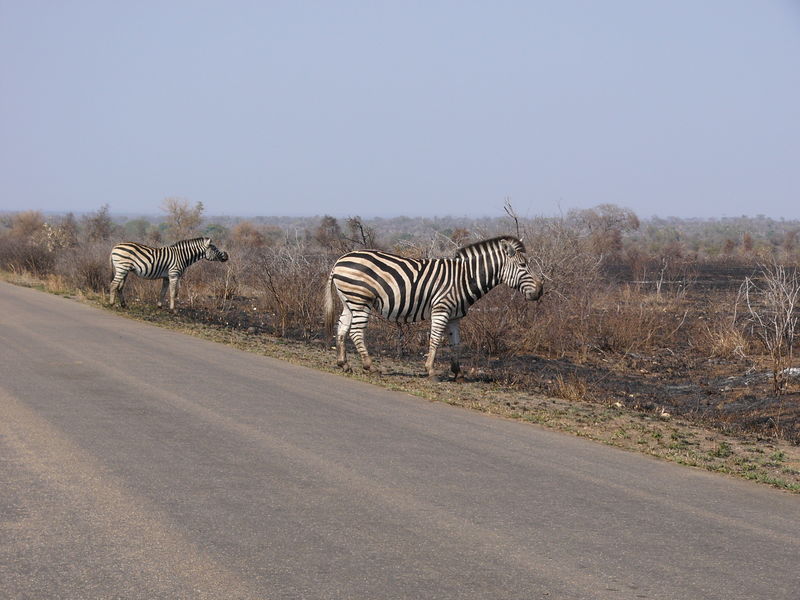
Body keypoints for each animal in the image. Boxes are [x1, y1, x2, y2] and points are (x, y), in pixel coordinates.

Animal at [324, 236, 544, 380]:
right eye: (523, 266)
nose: (540, 291)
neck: (465, 278)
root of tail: (339, 261)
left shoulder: (455, 315)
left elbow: (456, 343)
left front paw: (458, 372)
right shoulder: (441, 309)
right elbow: (436, 339)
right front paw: (430, 370)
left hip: (349, 301)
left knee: (342, 328)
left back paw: (344, 364)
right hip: (361, 299)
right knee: (356, 332)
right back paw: (369, 366)